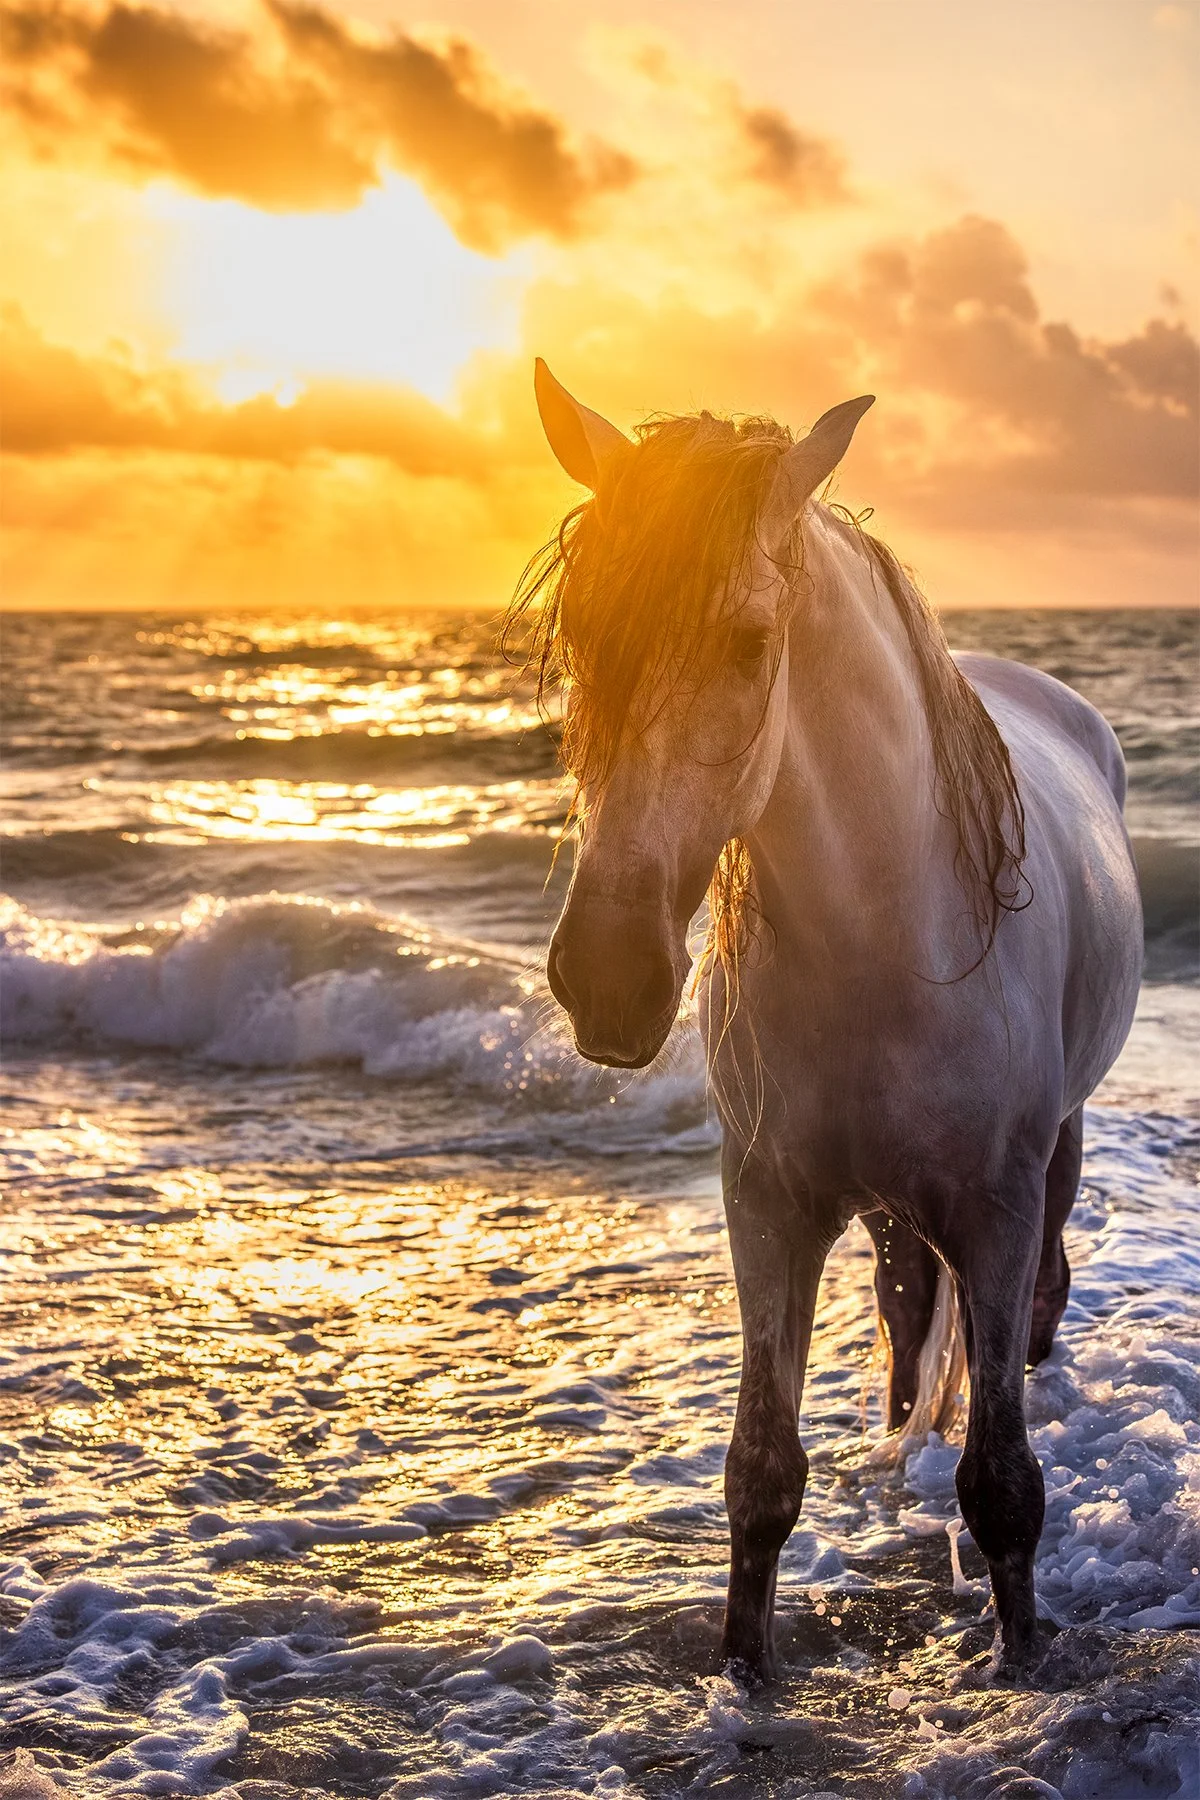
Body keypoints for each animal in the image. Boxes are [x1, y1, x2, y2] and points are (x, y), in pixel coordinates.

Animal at [511, 359, 1143, 1688]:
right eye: (583, 635)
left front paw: (1021, 1664)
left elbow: (1003, 1485)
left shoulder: (995, 1209)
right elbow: (761, 1473)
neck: (891, 941)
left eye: (752, 640)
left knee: (1035, 1304)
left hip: (1053, 1154)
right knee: (906, 1316)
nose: (609, 977)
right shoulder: (769, 1205)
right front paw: (746, 1677)